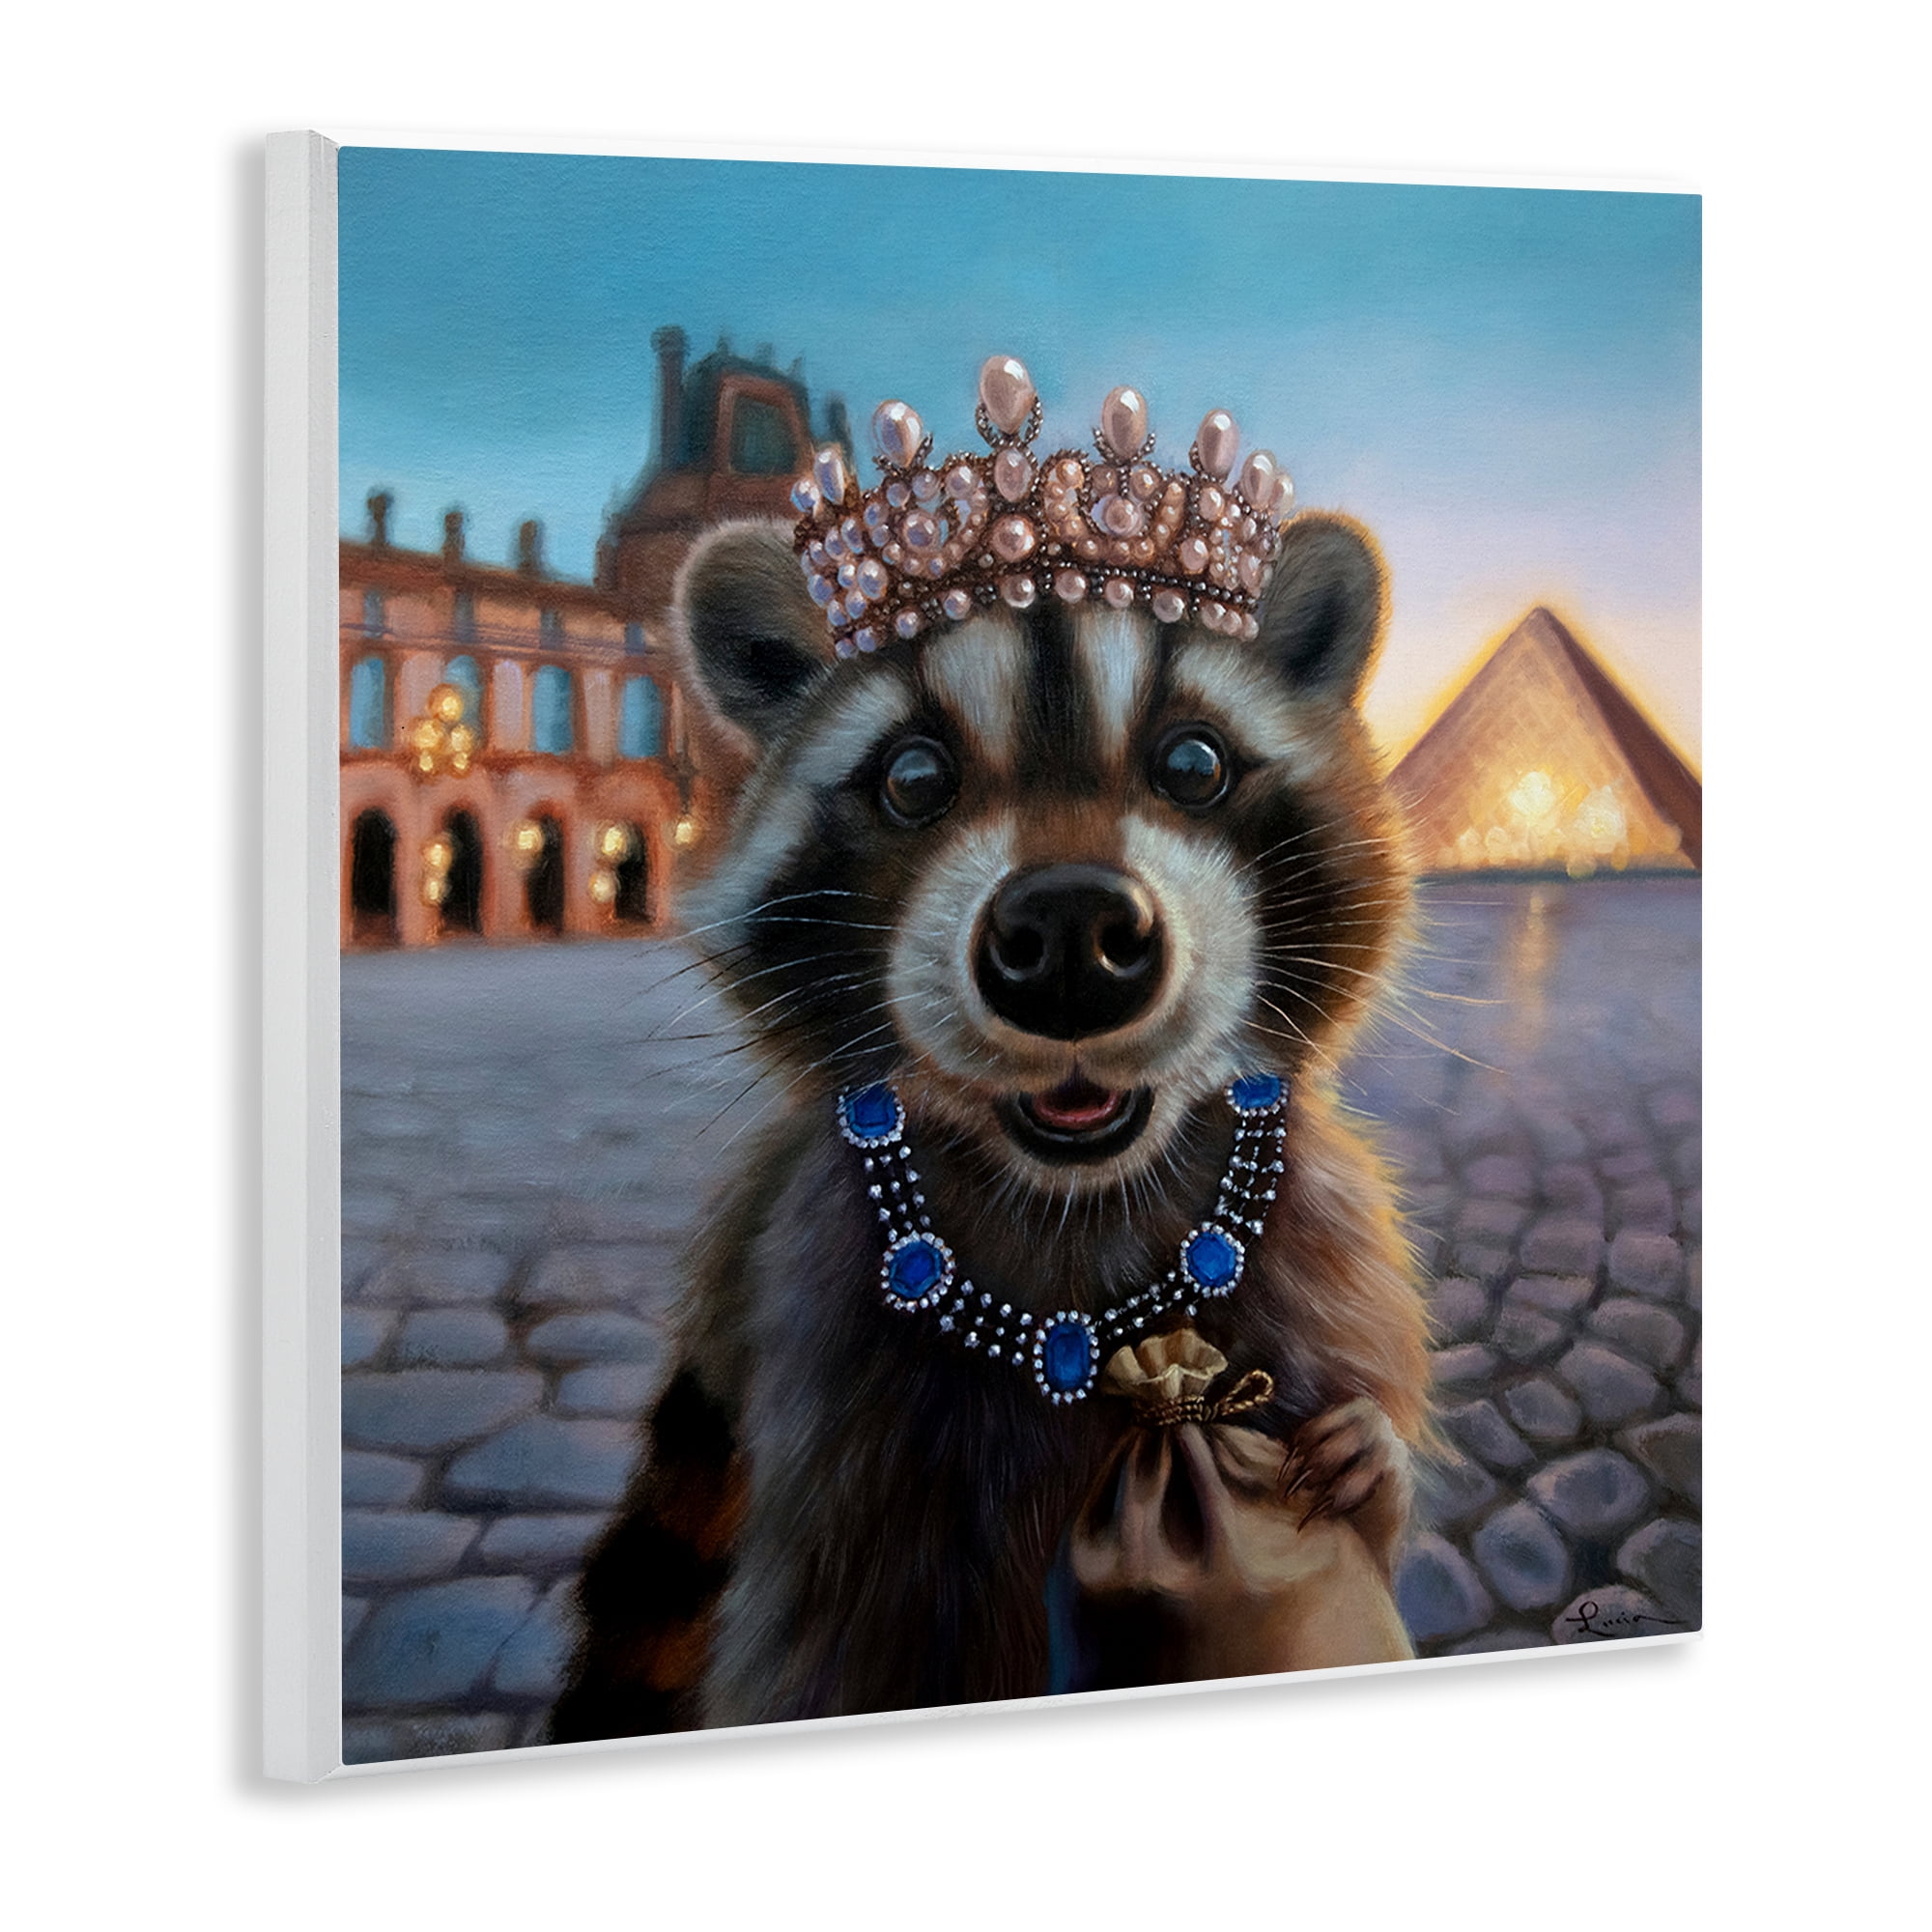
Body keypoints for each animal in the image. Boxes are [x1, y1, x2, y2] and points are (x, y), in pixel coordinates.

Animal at [549, 506, 1430, 1742]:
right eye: (914, 776)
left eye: (1192, 762)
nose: (1069, 935)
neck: (1073, 1207)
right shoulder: (839, 1429)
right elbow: (836, 1652)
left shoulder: (1327, 1281)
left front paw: (1374, 1464)